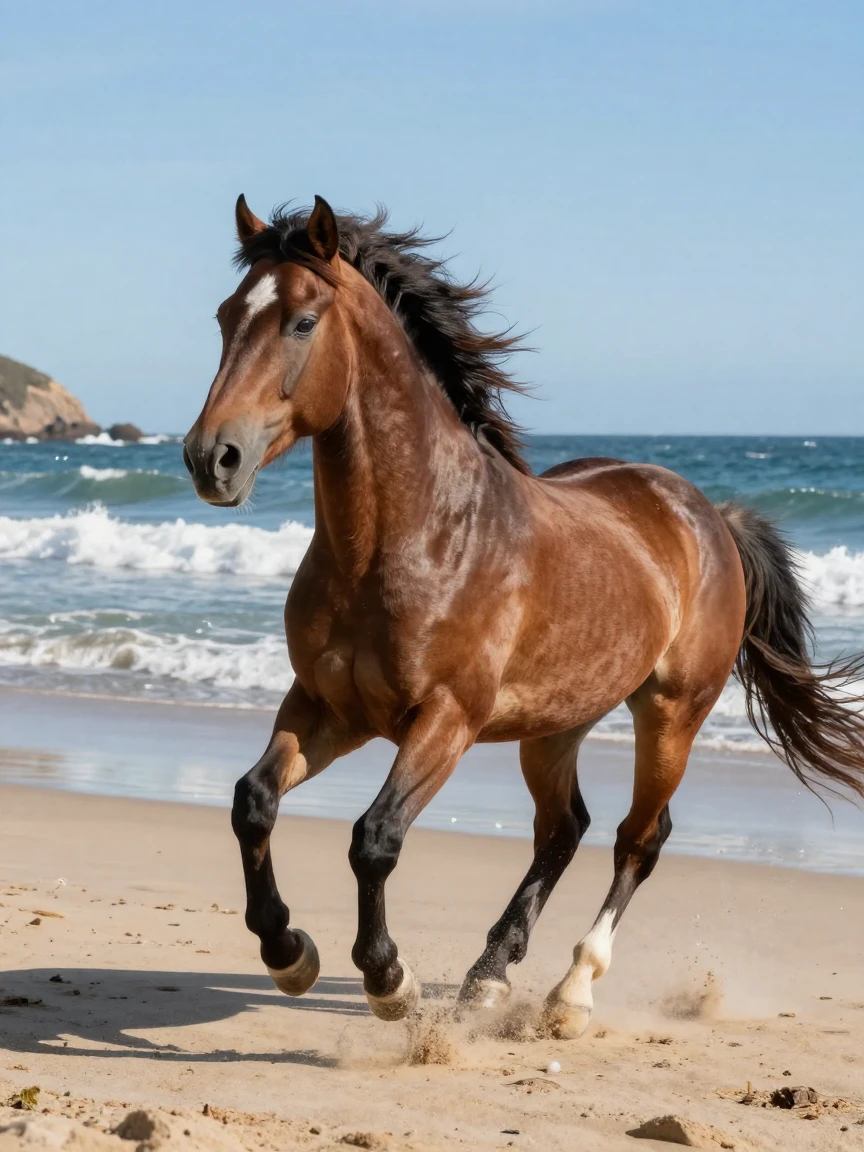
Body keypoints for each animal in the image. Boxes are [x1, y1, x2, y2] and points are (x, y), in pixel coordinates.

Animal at [184, 194, 864, 1037]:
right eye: (224, 316)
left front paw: (390, 980)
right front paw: (288, 952)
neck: (416, 536)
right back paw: (487, 977)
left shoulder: (446, 719)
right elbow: (254, 802)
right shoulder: (326, 708)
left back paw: (570, 992)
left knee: (639, 839)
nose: (211, 458)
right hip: (555, 724)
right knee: (563, 828)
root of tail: (708, 513)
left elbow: (375, 838)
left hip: (672, 714)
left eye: (303, 322)